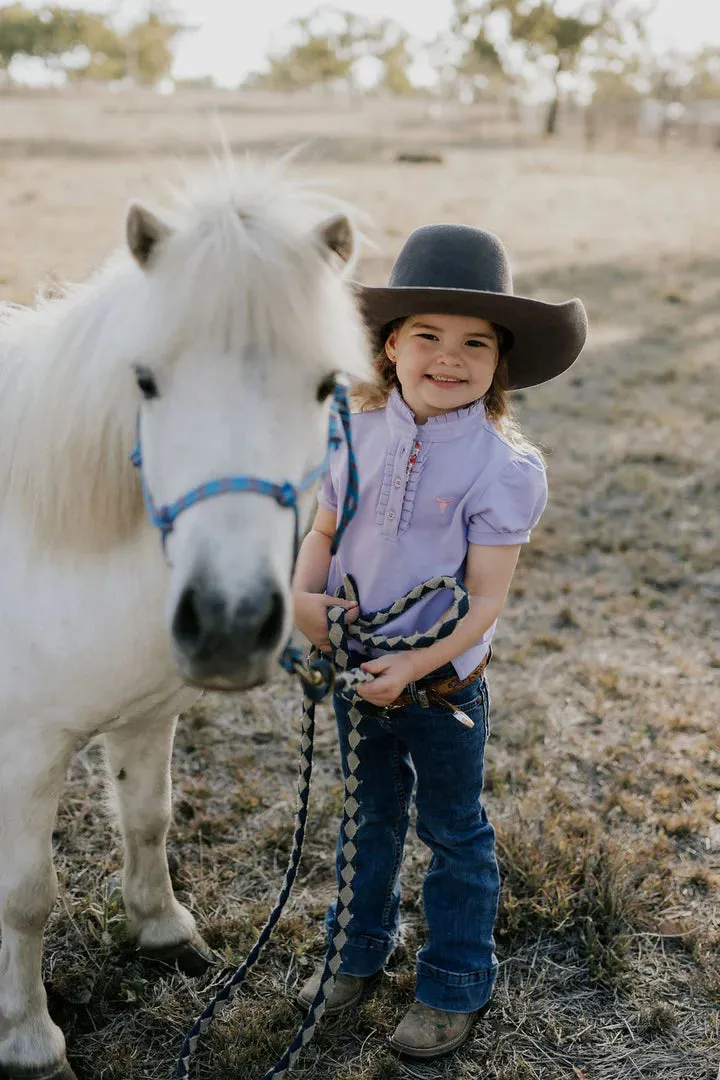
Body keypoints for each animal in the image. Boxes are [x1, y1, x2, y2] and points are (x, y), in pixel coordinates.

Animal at [0, 154, 371, 1080]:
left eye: (326, 386)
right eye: (145, 382)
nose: (231, 622)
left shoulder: (148, 714)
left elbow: (148, 817)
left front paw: (162, 931)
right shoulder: (23, 749)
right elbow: (26, 897)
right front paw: (29, 1040)